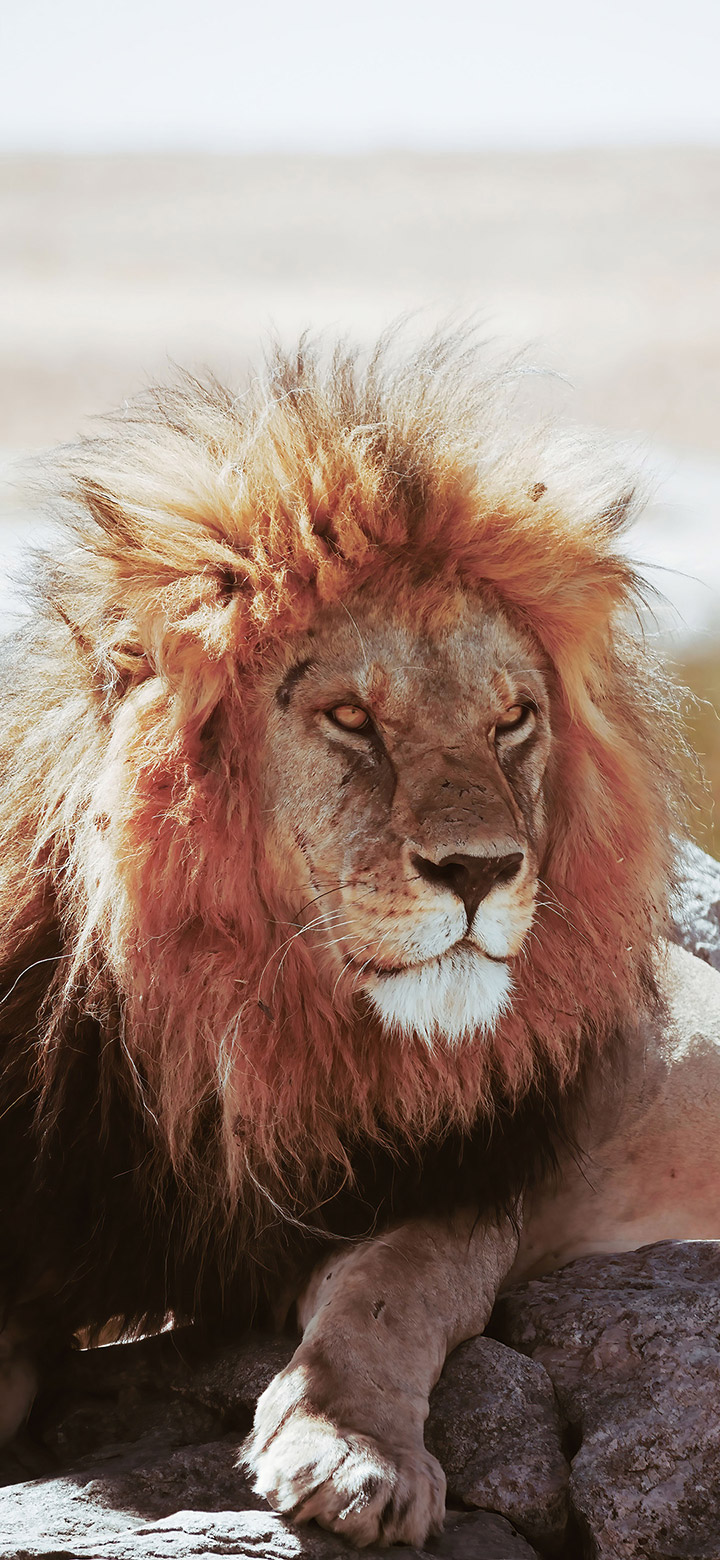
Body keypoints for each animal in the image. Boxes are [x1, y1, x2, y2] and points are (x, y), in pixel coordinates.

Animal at [1, 330, 719, 1546]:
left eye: (511, 720)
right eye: (350, 718)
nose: (480, 870)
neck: (241, 1033)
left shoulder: (458, 1181)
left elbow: (390, 1293)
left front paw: (353, 1453)